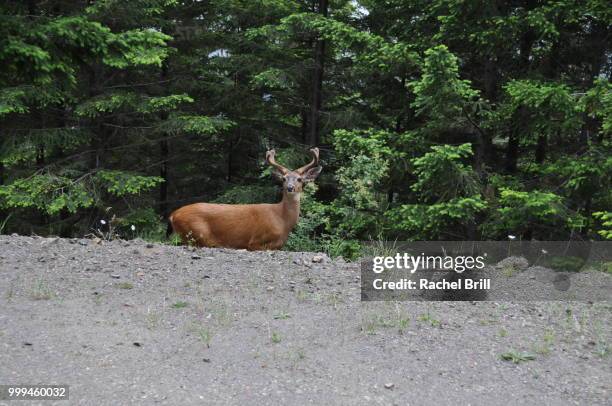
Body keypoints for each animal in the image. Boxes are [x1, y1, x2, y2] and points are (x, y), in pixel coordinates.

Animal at [167, 149, 320, 251]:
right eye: (283, 178)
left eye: (299, 179)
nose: (290, 188)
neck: (282, 221)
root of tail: (173, 215)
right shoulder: (255, 241)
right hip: (197, 231)